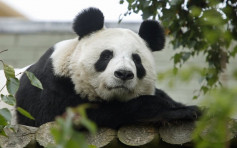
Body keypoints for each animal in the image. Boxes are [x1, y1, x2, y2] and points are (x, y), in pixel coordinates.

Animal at [15, 7, 200, 128]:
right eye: (106, 55)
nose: (124, 74)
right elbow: (78, 116)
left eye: (136, 60)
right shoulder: (49, 88)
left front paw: (190, 108)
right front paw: (176, 111)